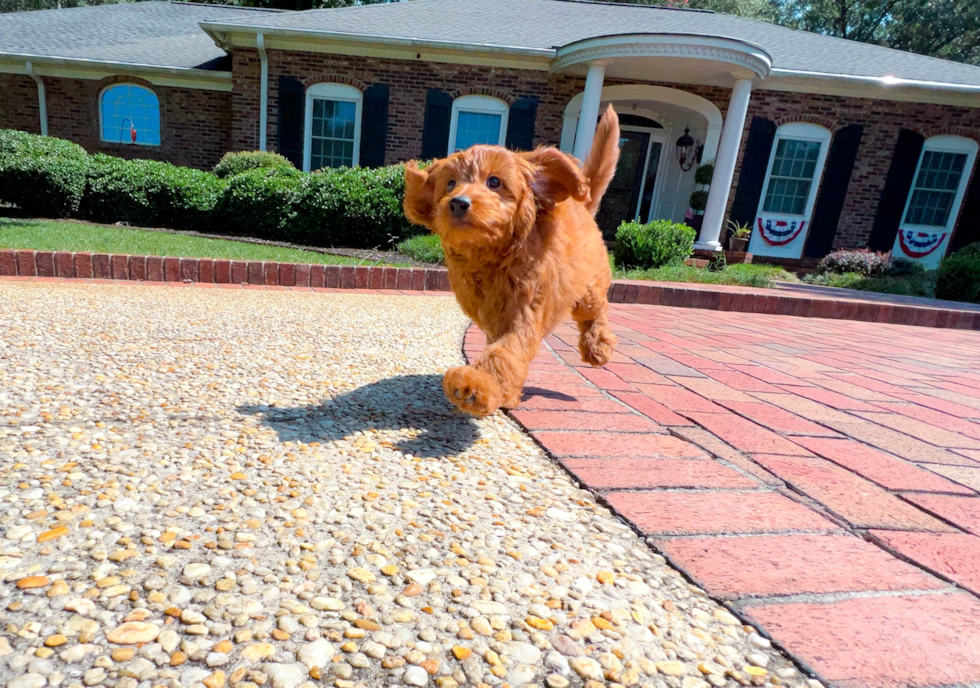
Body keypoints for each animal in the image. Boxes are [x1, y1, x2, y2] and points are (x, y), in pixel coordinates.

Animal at [404, 105, 620, 416]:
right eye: (450, 184)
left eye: (494, 182)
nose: (458, 202)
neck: (491, 256)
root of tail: (584, 207)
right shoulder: (492, 318)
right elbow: (504, 354)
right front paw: (502, 391)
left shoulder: (524, 311)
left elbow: (505, 352)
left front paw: (476, 383)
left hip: (588, 286)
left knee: (596, 309)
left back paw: (597, 346)